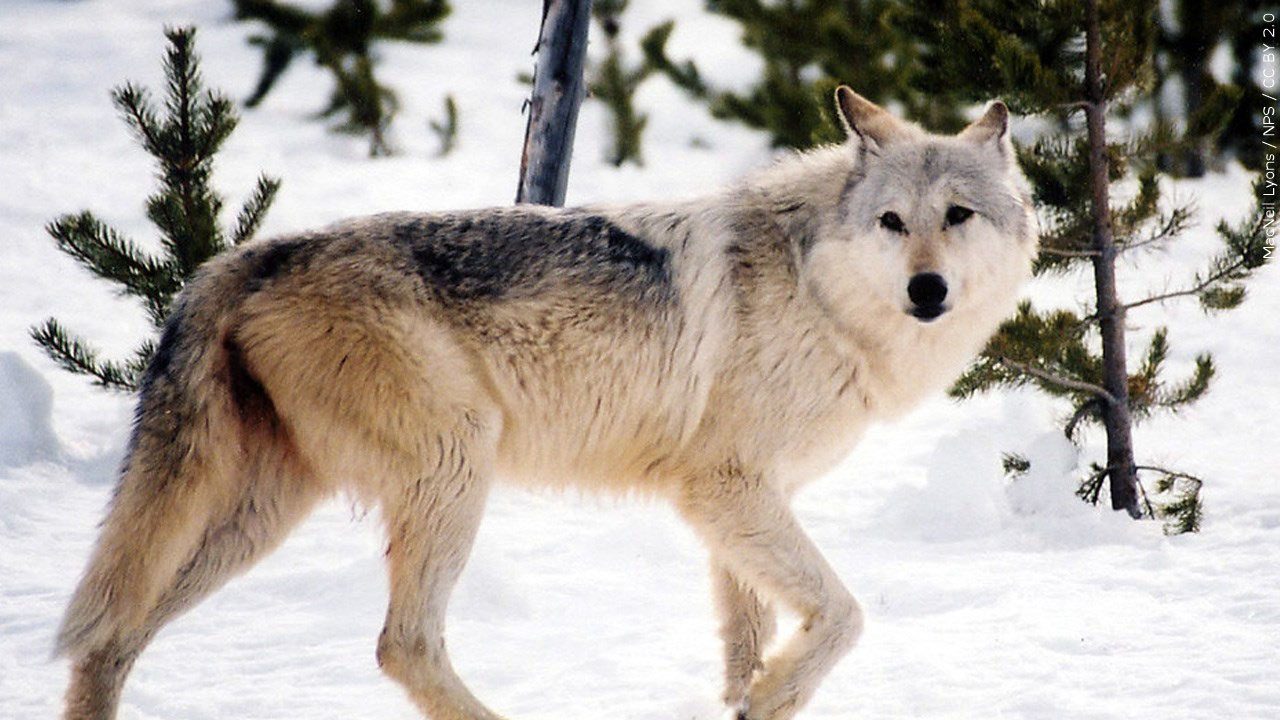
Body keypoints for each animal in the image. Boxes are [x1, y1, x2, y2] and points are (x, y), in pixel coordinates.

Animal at [57, 89, 1039, 717]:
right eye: (891, 222)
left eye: (957, 216)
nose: (926, 290)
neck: (818, 290)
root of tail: (246, 256)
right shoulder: (724, 489)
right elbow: (843, 614)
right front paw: (775, 691)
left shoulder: (738, 504)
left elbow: (746, 642)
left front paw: (751, 700)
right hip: (455, 467)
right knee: (402, 644)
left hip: (262, 513)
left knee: (111, 638)